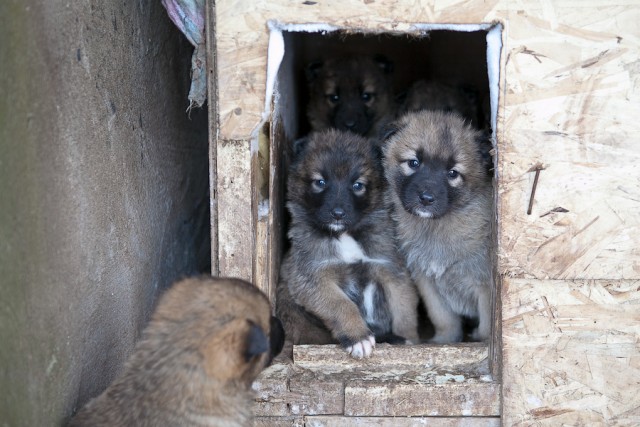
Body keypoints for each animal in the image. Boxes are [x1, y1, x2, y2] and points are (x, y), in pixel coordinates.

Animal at [276, 129, 420, 360]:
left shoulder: (392, 271)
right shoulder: (312, 277)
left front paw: (410, 341)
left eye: (357, 185)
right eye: (320, 182)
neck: (344, 236)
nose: (338, 214)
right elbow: (341, 305)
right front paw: (358, 337)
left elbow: (404, 312)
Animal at [382, 110, 492, 344]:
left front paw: (483, 342)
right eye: (414, 163)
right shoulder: (427, 281)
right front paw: (444, 341)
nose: (426, 198)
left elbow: (488, 324)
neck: (435, 227)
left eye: (453, 173)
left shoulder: (484, 284)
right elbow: (442, 318)